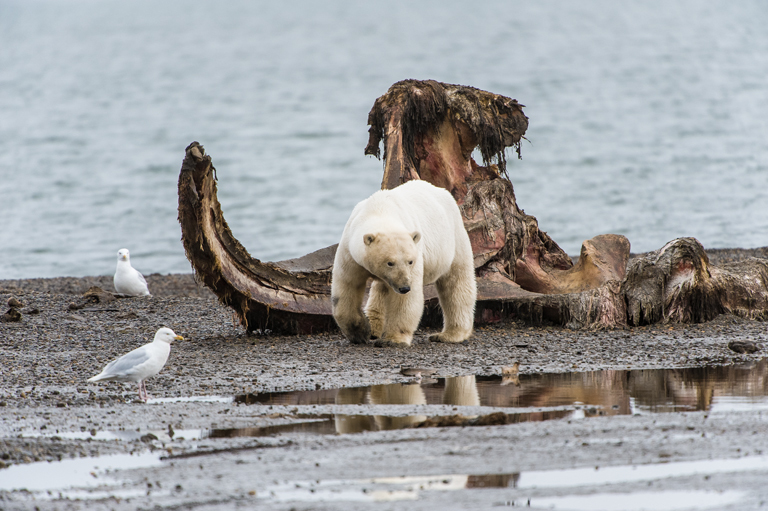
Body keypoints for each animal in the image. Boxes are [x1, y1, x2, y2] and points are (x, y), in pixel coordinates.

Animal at [330, 180, 474, 348]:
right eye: (390, 263)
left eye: (410, 261)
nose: (404, 287)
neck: (380, 211)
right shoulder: (350, 250)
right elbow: (347, 286)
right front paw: (360, 333)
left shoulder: (415, 252)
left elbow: (405, 302)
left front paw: (392, 340)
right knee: (381, 289)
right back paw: (374, 327)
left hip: (453, 237)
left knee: (456, 282)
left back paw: (449, 335)